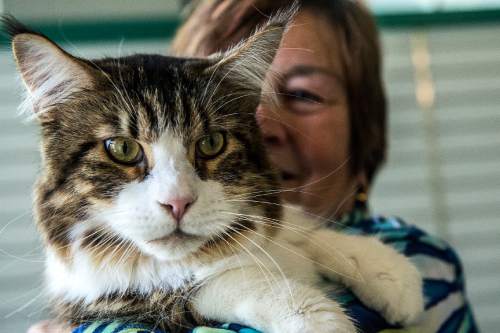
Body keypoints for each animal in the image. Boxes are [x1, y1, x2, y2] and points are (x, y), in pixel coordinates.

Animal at [2, 9, 422, 330]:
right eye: (122, 149)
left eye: (211, 143)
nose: (177, 203)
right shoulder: (106, 302)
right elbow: (217, 285)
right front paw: (316, 315)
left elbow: (299, 227)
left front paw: (388, 272)